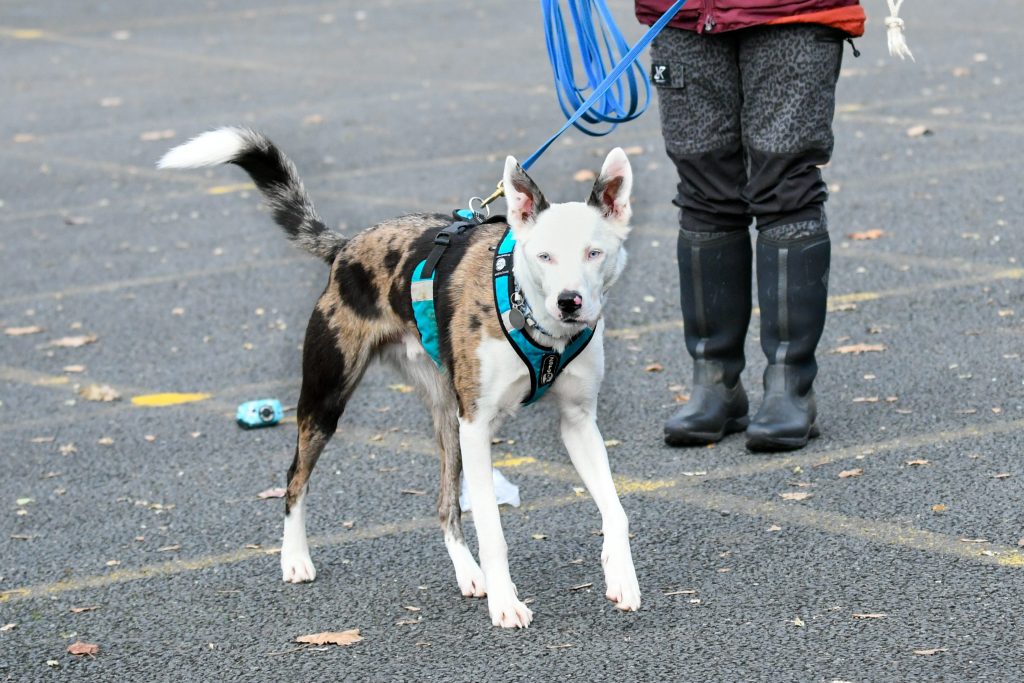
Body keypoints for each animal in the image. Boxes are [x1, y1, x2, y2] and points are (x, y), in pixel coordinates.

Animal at [157, 125, 638, 626]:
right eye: (543, 256)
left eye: (594, 253)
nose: (569, 302)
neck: (535, 320)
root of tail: (346, 247)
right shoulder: (477, 424)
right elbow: (492, 529)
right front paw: (507, 604)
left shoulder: (577, 423)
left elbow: (615, 509)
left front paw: (621, 575)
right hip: (326, 400)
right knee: (294, 479)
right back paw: (295, 557)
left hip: (447, 419)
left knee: (445, 506)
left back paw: (471, 574)